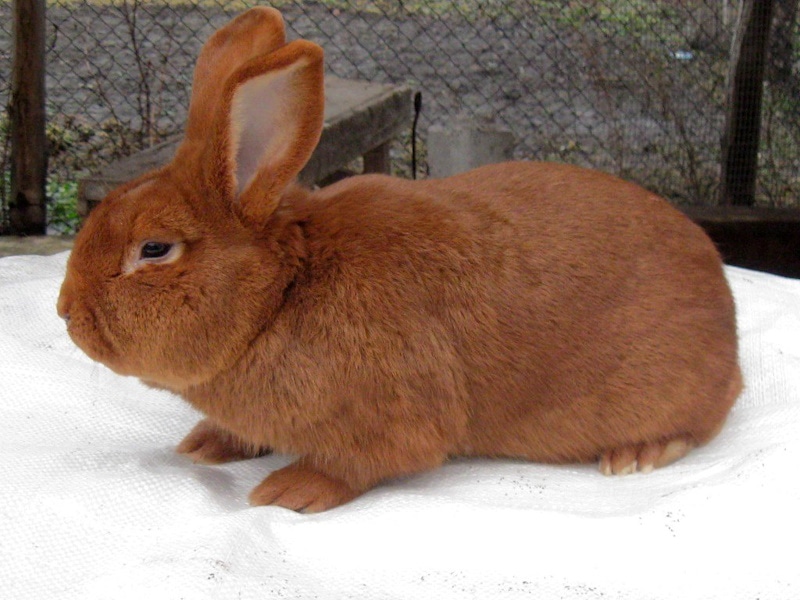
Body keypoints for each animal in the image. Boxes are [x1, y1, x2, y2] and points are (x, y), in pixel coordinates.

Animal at [57, 7, 742, 513]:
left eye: (154, 249)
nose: (65, 311)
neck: (282, 292)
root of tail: (724, 314)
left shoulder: (392, 416)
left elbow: (357, 465)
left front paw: (287, 491)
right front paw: (203, 446)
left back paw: (636, 455)